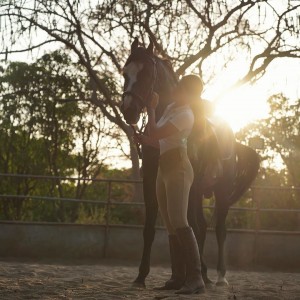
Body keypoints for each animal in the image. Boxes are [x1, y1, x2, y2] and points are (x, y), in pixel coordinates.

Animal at [120, 37, 260, 286]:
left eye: (146, 74)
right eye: (125, 73)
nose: (129, 111)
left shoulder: (190, 183)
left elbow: (190, 225)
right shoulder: (151, 180)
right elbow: (150, 228)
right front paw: (141, 276)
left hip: (220, 191)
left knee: (218, 228)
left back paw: (219, 276)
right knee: (202, 226)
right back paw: (201, 272)